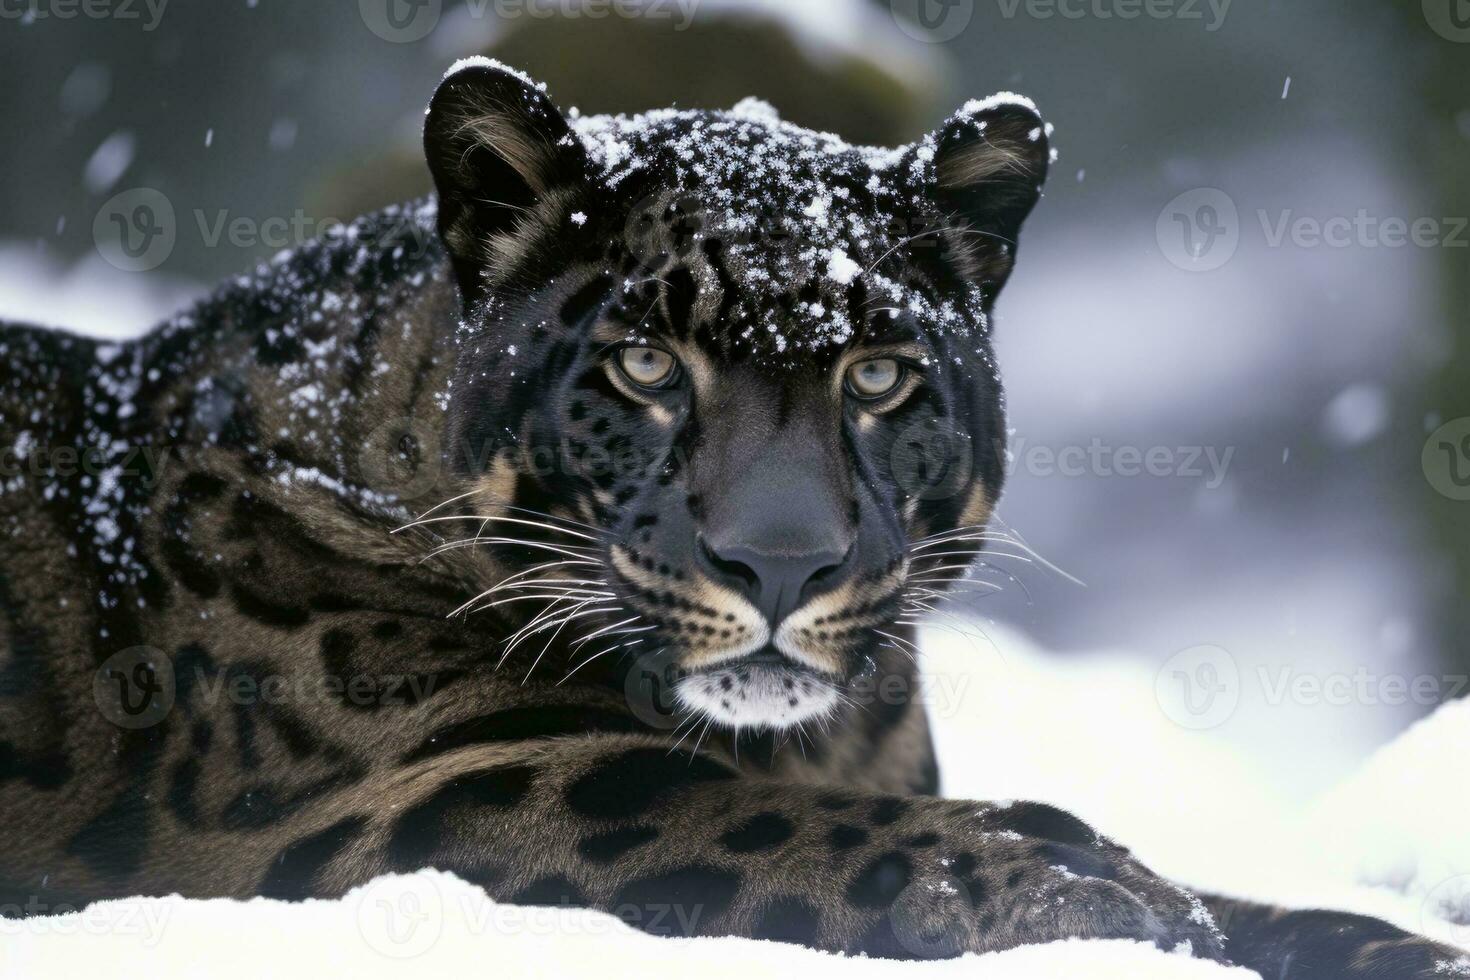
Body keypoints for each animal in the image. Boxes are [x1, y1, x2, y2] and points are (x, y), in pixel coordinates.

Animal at [0, 59, 1458, 975]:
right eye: (647, 364)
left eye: (876, 374)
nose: (781, 561)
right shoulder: (401, 799)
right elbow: (768, 824)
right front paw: (1089, 893)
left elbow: (1252, 896)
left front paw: (1385, 943)